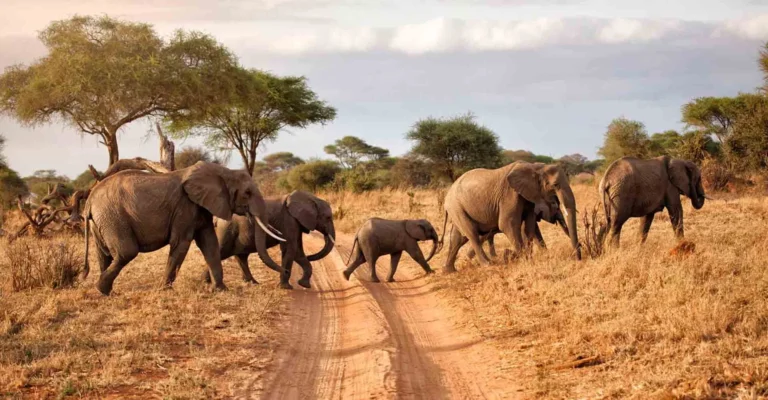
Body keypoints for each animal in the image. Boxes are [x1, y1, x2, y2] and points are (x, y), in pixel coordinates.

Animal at [82, 161, 285, 295]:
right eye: (247, 193)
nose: (285, 273)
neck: (223, 172)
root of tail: (90, 200)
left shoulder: (202, 207)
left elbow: (210, 244)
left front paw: (221, 290)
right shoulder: (185, 207)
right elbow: (181, 243)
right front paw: (163, 290)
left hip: (101, 221)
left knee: (104, 254)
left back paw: (106, 292)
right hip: (113, 217)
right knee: (126, 252)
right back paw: (102, 289)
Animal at [441, 161, 581, 273]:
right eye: (555, 184)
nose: (578, 259)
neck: (535, 167)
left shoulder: (529, 197)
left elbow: (529, 227)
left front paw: (527, 257)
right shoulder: (510, 195)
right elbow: (508, 224)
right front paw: (519, 258)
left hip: (457, 209)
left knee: (458, 238)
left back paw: (449, 271)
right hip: (456, 207)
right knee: (472, 233)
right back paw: (488, 264)